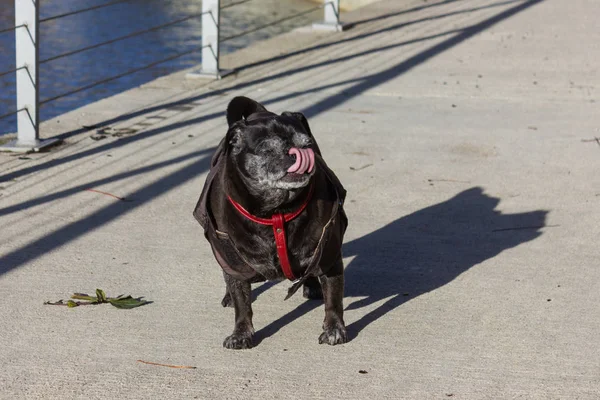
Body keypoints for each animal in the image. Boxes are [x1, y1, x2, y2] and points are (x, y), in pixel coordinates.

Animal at [195, 95, 350, 348]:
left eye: (307, 144)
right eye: (267, 148)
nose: (295, 152)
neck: (276, 210)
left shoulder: (329, 254)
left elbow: (334, 300)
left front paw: (334, 329)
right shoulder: (231, 256)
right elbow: (242, 302)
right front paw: (241, 333)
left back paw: (312, 286)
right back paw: (228, 295)